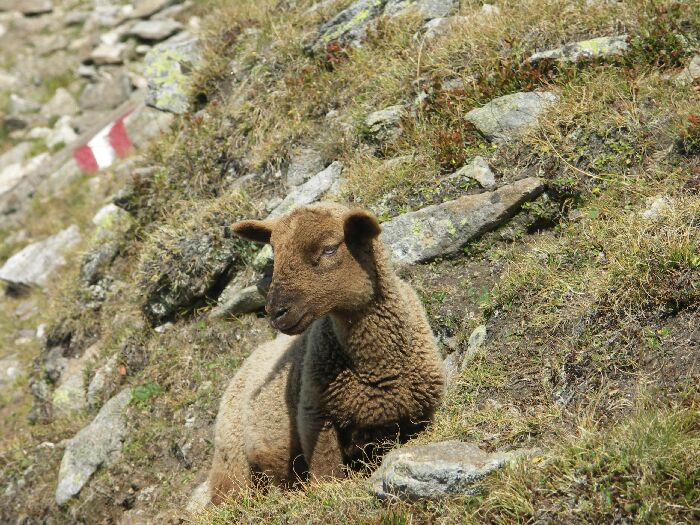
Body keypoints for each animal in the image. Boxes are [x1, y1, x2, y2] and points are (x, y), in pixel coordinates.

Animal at [205, 203, 444, 504]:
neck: (374, 367)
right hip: (233, 462)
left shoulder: (422, 416)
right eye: (275, 253)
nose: (276, 312)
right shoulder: (314, 417)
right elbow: (326, 474)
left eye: (330, 248)